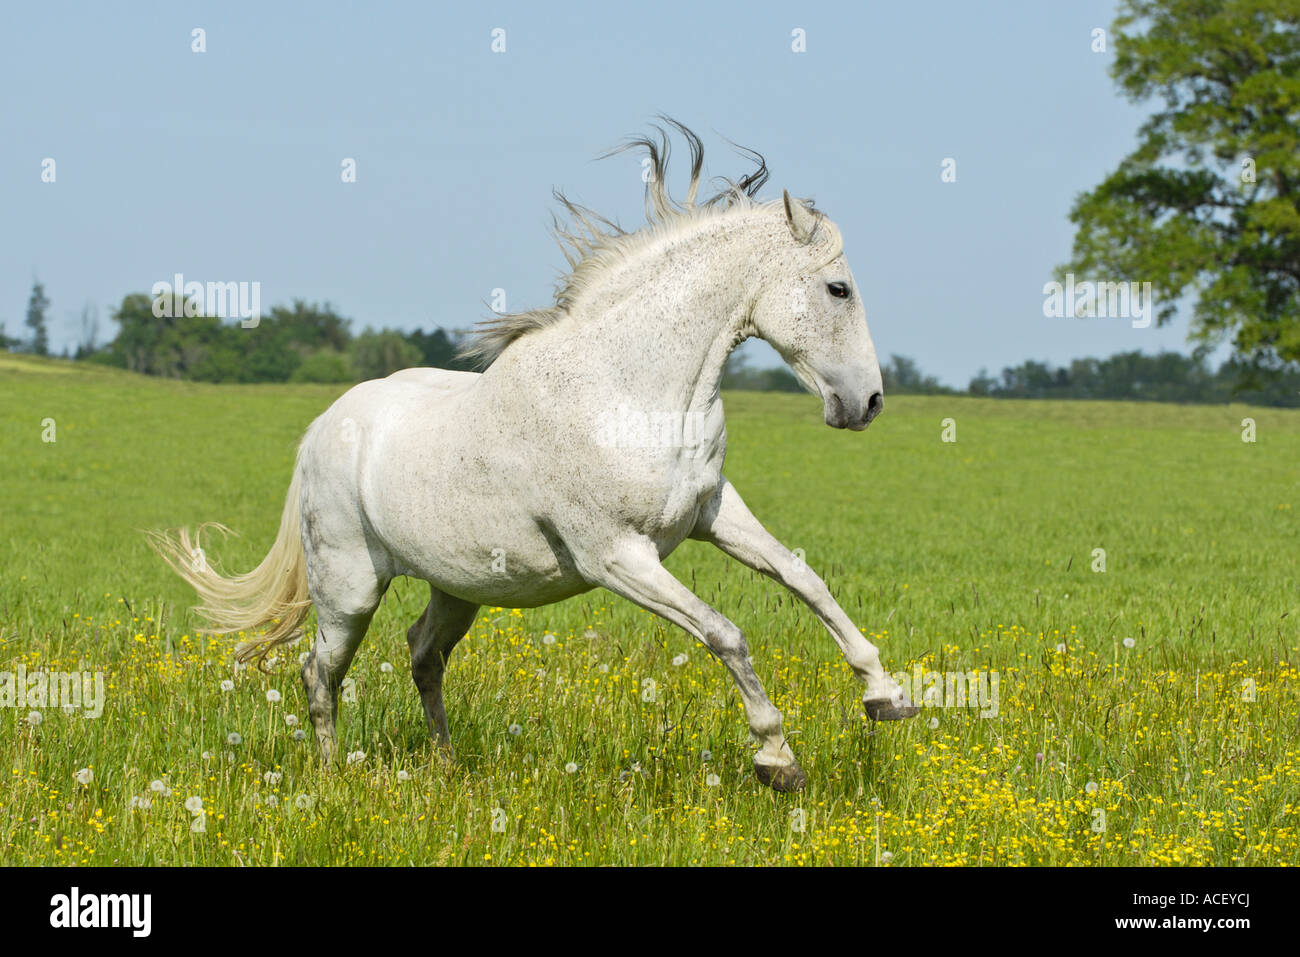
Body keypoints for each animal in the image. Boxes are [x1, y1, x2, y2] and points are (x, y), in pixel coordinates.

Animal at [157, 121, 920, 790]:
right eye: (838, 288)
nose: (868, 402)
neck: (630, 388)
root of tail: (322, 427)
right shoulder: (616, 555)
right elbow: (725, 633)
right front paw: (777, 759)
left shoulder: (711, 512)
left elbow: (803, 577)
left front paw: (887, 694)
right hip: (348, 589)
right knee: (320, 673)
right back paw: (330, 776)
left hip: (457, 586)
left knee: (422, 654)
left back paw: (445, 766)